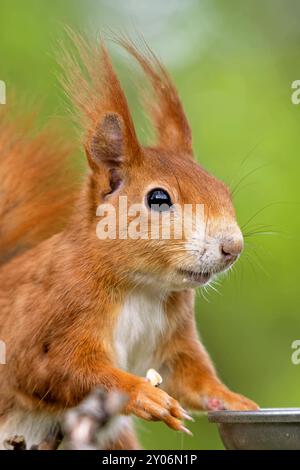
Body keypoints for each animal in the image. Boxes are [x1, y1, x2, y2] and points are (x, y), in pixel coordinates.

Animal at [0, 35, 258, 450]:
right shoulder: (48, 321)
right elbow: (59, 370)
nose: (232, 248)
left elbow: (192, 378)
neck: (142, 289)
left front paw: (233, 400)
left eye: (223, 190)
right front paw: (144, 395)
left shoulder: (174, 341)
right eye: (158, 198)